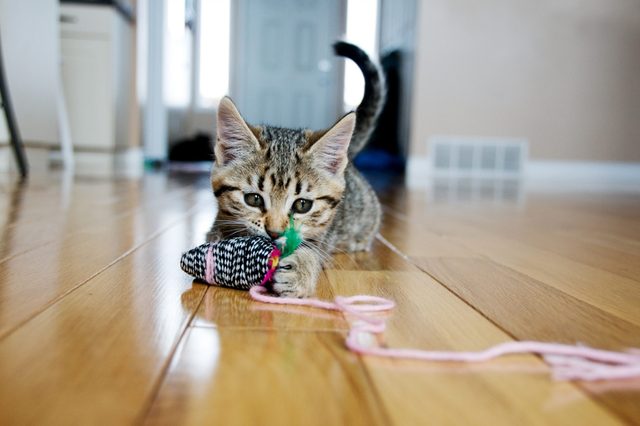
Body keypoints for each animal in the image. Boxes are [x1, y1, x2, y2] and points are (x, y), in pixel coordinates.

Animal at [208, 43, 382, 296]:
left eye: (302, 205)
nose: (274, 233)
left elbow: (312, 249)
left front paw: (300, 272)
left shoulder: (322, 236)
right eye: (253, 199)